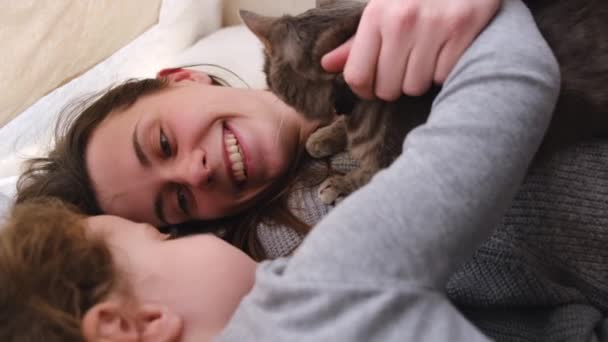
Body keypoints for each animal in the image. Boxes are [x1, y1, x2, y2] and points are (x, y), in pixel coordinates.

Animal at [242, 0, 608, 203]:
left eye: (267, 77)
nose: (267, 89)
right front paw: (324, 136)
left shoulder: (399, 156)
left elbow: (367, 171)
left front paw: (339, 182)